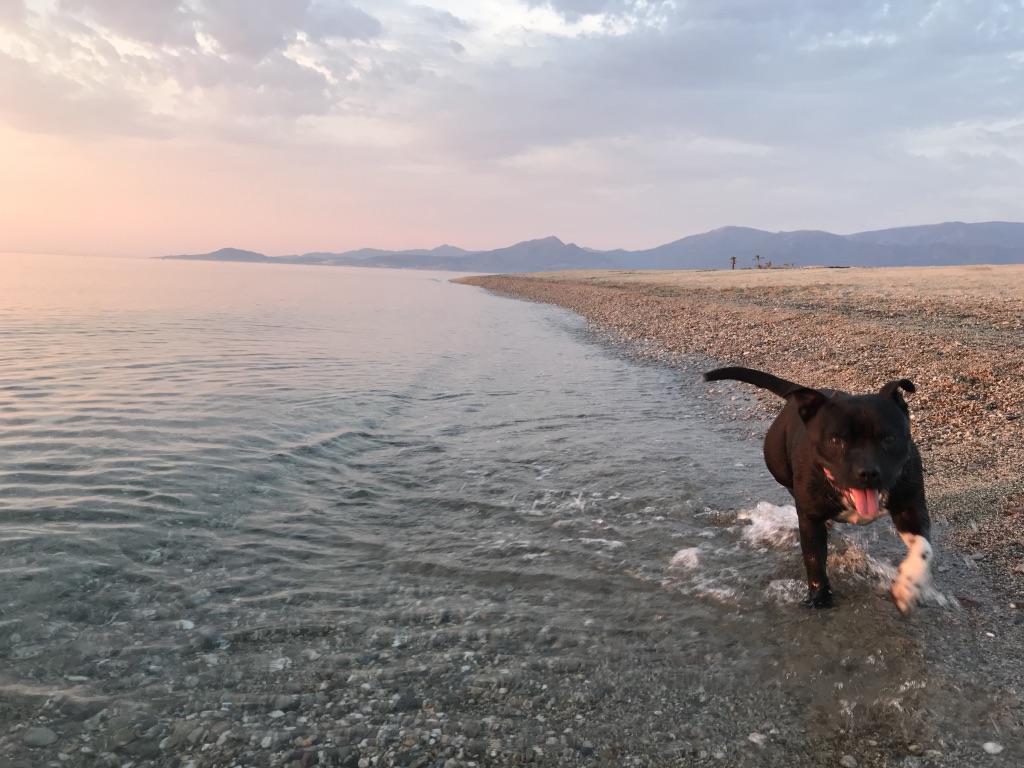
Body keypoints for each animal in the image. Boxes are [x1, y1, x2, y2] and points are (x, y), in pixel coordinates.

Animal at [703, 366, 931, 612]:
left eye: (889, 438)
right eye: (835, 440)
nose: (868, 472)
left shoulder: (910, 508)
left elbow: (923, 549)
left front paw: (908, 587)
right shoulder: (810, 520)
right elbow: (814, 560)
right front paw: (819, 597)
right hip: (779, 466)